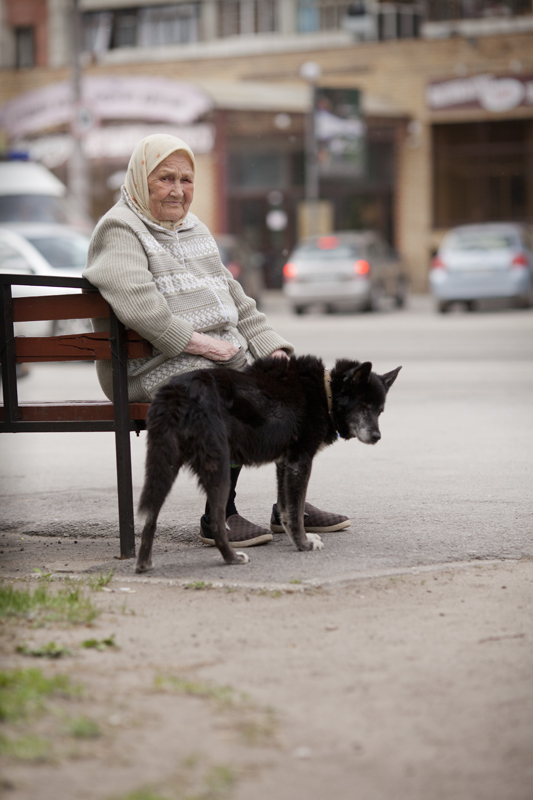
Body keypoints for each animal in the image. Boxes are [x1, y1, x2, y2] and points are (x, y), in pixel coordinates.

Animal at [135, 354, 402, 568]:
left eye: (379, 410)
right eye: (364, 406)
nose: (377, 437)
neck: (324, 393)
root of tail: (177, 390)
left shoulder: (284, 464)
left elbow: (285, 510)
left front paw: (298, 540)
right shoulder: (300, 462)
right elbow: (295, 512)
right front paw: (303, 544)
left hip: (165, 467)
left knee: (150, 519)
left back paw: (144, 565)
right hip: (219, 470)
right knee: (218, 524)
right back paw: (232, 559)